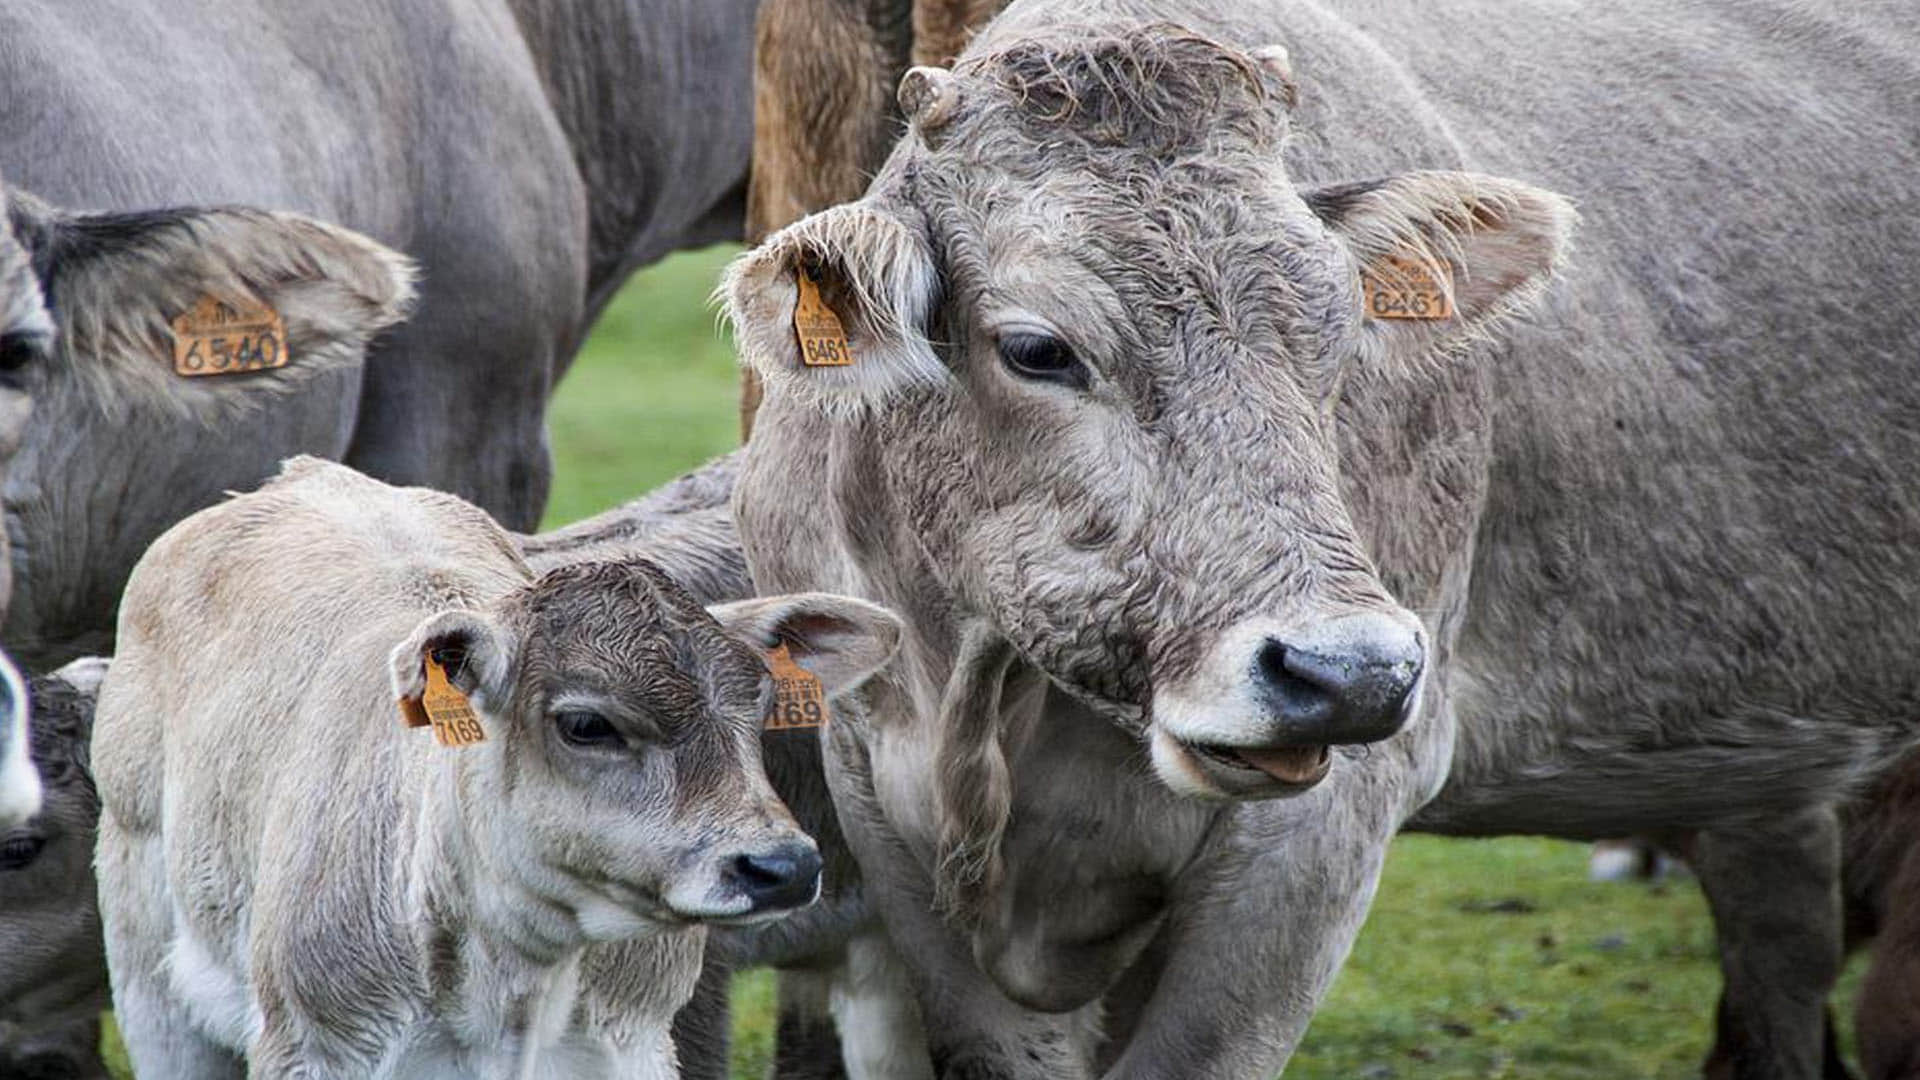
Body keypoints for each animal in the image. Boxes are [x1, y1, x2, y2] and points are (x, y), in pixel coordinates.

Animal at [92, 458, 903, 1079]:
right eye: (586, 724)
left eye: (757, 706)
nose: (782, 866)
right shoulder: (315, 1045)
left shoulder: (635, 1042)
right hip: (148, 976)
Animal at [723, 2, 1920, 1077]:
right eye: (1037, 348)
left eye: (1342, 333)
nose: (1349, 672)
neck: (983, 703)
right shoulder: (878, 807)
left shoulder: (1321, 836)